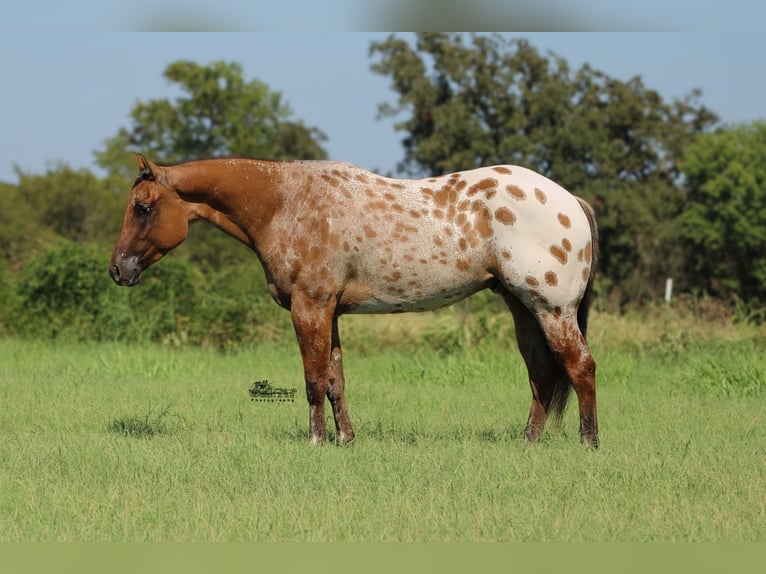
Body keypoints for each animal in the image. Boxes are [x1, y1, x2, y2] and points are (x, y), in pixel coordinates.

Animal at [109, 155, 600, 448]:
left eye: (143, 207)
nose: (117, 270)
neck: (285, 203)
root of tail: (570, 200)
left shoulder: (310, 307)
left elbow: (313, 380)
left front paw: (315, 441)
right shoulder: (330, 312)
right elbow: (335, 380)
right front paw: (346, 439)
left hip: (552, 309)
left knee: (580, 368)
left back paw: (589, 444)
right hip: (523, 308)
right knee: (542, 373)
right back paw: (528, 441)